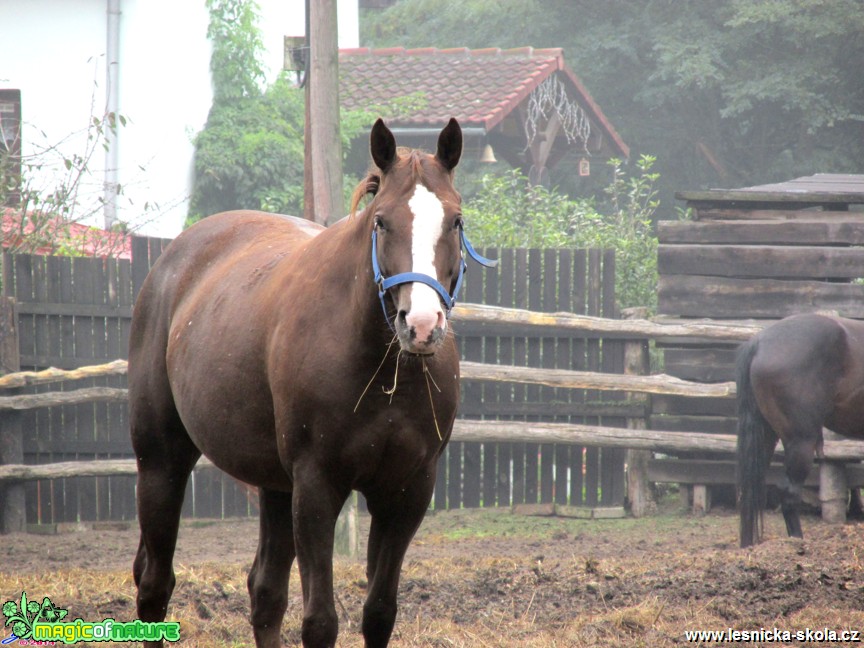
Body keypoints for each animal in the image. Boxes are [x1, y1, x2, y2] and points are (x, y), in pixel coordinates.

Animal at [127, 119, 492, 644]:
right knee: (155, 583)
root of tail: (172, 264)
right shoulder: (316, 487)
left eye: (456, 221)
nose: (421, 325)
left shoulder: (406, 493)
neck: (383, 374)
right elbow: (320, 622)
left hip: (274, 485)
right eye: (382, 221)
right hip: (161, 461)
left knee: (264, 592)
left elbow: (379, 612)